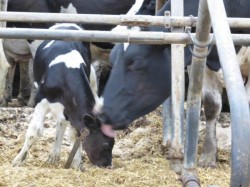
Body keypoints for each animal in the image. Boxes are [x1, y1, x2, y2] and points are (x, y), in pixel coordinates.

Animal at [12, 24, 115, 169]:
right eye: (106, 144)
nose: (108, 165)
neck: (64, 76)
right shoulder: (41, 101)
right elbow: (34, 131)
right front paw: (19, 159)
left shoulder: (72, 111)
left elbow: (75, 134)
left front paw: (76, 163)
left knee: (61, 125)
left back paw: (54, 155)